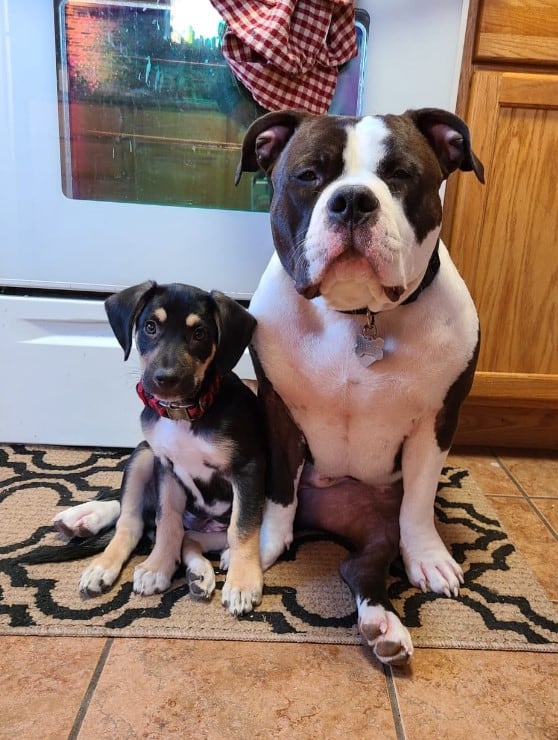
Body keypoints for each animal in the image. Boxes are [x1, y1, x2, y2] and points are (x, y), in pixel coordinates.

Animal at [53, 280, 268, 616]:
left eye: (200, 333)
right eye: (150, 327)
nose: (165, 378)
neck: (185, 412)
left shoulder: (248, 468)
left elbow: (242, 527)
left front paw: (243, 583)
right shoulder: (166, 466)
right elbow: (166, 521)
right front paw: (158, 567)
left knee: (186, 536)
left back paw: (200, 573)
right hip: (142, 455)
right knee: (133, 522)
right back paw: (99, 557)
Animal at [236, 108, 486, 664]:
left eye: (401, 174)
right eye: (308, 175)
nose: (352, 200)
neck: (359, 315)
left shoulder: (437, 422)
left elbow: (419, 502)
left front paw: (428, 557)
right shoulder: (278, 410)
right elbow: (279, 489)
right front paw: (263, 543)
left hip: (376, 526)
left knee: (361, 567)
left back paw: (383, 625)